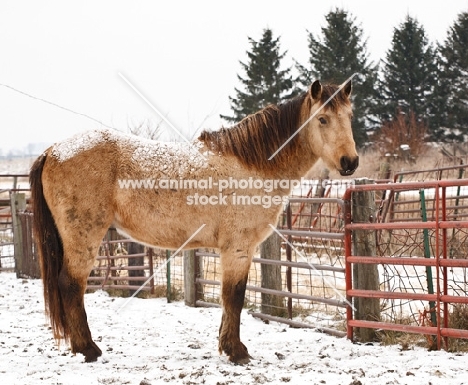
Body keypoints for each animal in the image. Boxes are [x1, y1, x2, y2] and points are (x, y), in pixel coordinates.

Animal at [30, 79, 358, 364]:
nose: (350, 162)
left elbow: (229, 299)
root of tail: (53, 150)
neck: (252, 166)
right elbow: (234, 296)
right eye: (323, 119)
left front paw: (226, 346)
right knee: (71, 284)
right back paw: (88, 348)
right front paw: (236, 351)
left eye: (349, 116)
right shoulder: (238, 248)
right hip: (84, 237)